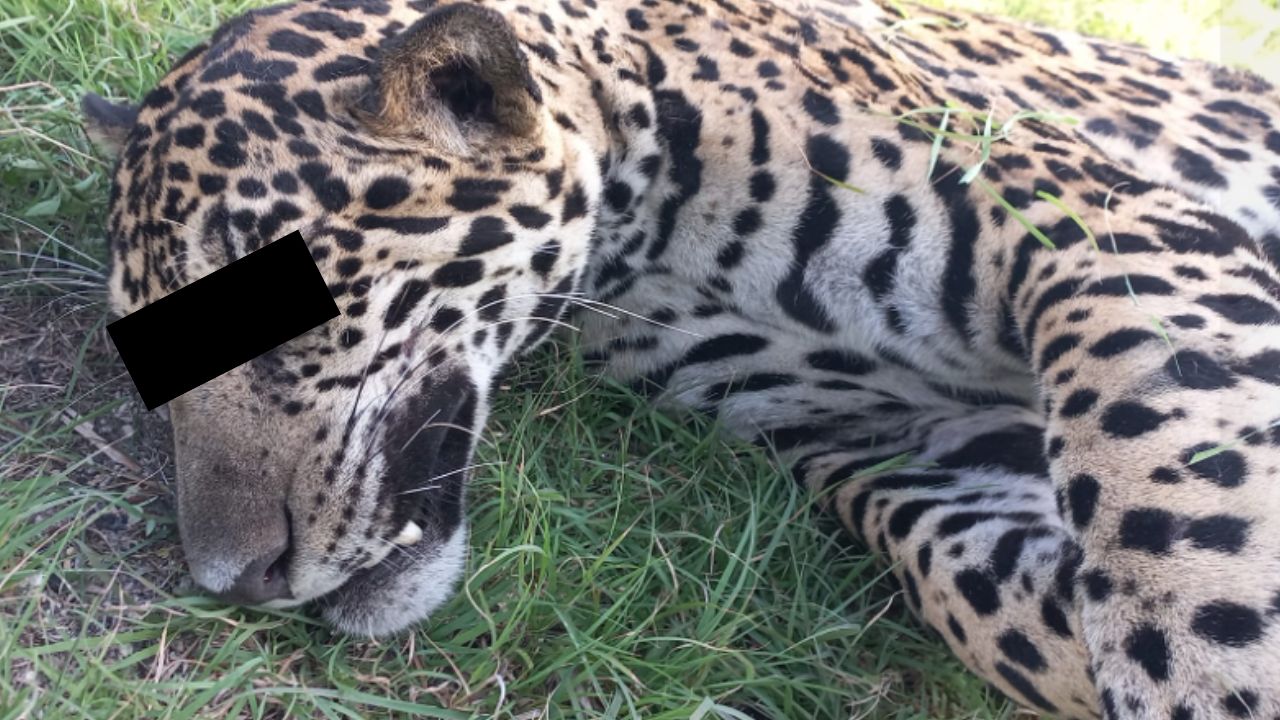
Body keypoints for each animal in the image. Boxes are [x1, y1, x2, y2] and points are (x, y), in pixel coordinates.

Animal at [81, 0, 1280, 717]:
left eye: (261, 283)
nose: (232, 582)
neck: (646, 244)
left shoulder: (1103, 226)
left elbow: (1166, 503)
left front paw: (1212, 683)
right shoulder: (895, 448)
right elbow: (987, 593)